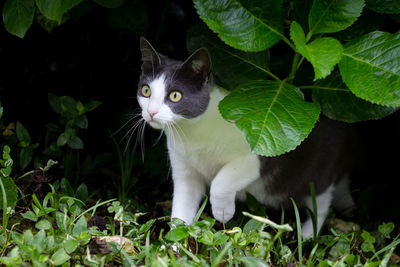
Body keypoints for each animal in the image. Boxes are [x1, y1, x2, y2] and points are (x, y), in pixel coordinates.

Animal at [137, 37, 356, 239]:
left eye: (175, 96)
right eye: (146, 90)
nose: (151, 112)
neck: (192, 133)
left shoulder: (256, 156)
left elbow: (221, 180)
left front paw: (223, 212)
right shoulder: (184, 169)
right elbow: (182, 204)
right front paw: (175, 243)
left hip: (320, 171)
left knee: (321, 202)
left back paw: (309, 234)